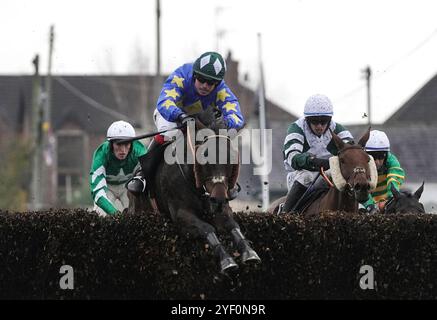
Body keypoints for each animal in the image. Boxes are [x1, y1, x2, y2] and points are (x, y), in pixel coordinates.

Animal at [129, 116, 258, 274]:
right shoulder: (182, 215)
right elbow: (207, 228)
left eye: (231, 156)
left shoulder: (221, 208)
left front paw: (249, 252)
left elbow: (232, 225)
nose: (218, 198)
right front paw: (226, 260)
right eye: (205, 154)